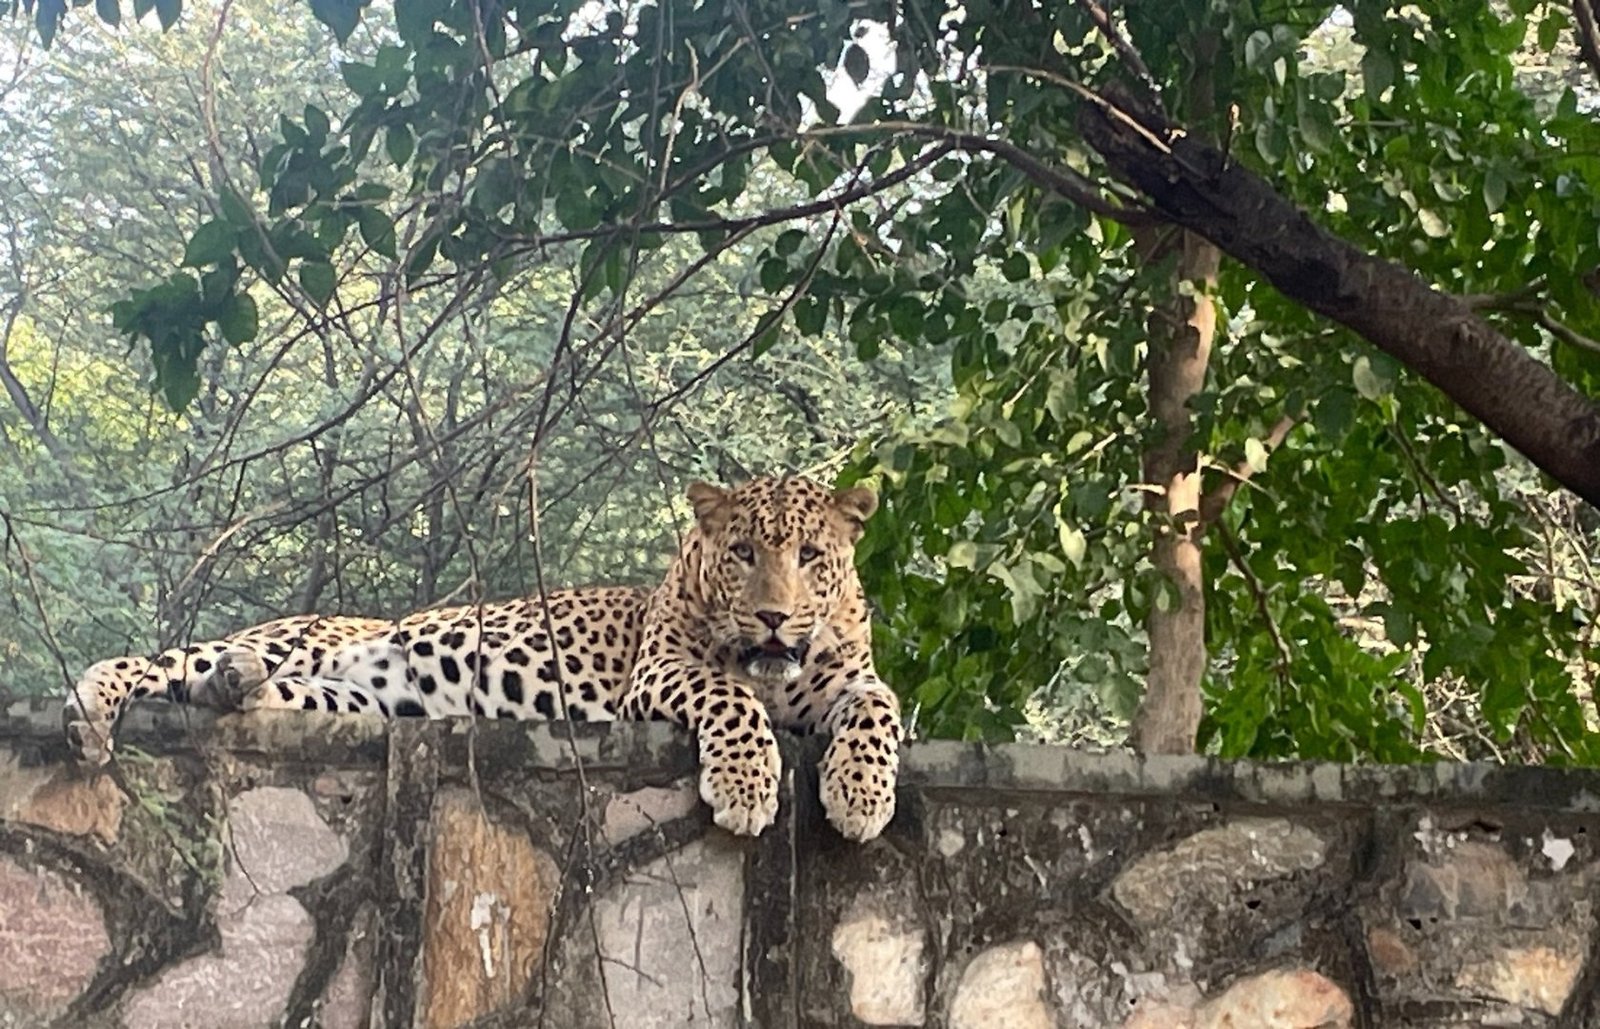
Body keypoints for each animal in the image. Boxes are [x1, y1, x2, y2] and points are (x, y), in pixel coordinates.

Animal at [63, 476, 901, 841]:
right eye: (743, 552)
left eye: (809, 555)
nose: (773, 616)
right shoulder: (658, 672)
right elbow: (732, 697)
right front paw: (747, 786)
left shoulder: (854, 681)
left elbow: (879, 710)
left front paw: (861, 796)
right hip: (293, 637)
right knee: (156, 661)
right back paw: (90, 715)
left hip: (360, 699)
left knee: (245, 684)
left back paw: (235, 689)